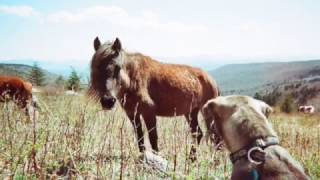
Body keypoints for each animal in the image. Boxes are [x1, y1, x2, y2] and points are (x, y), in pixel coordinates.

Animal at [89, 36, 220, 159]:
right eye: (96, 67)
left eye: (118, 67)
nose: (108, 101)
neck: (133, 79)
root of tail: (211, 80)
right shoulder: (132, 114)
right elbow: (140, 136)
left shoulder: (149, 112)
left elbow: (153, 137)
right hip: (190, 112)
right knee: (198, 134)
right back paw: (192, 159)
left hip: (207, 114)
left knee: (215, 137)